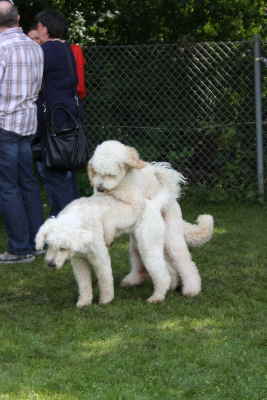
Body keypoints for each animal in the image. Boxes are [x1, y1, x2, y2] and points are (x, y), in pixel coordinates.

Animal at [89, 141, 215, 300]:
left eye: (110, 175)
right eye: (96, 173)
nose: (100, 188)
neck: (123, 182)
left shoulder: (133, 203)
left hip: (170, 239)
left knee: (186, 263)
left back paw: (191, 288)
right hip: (139, 242)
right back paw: (141, 280)